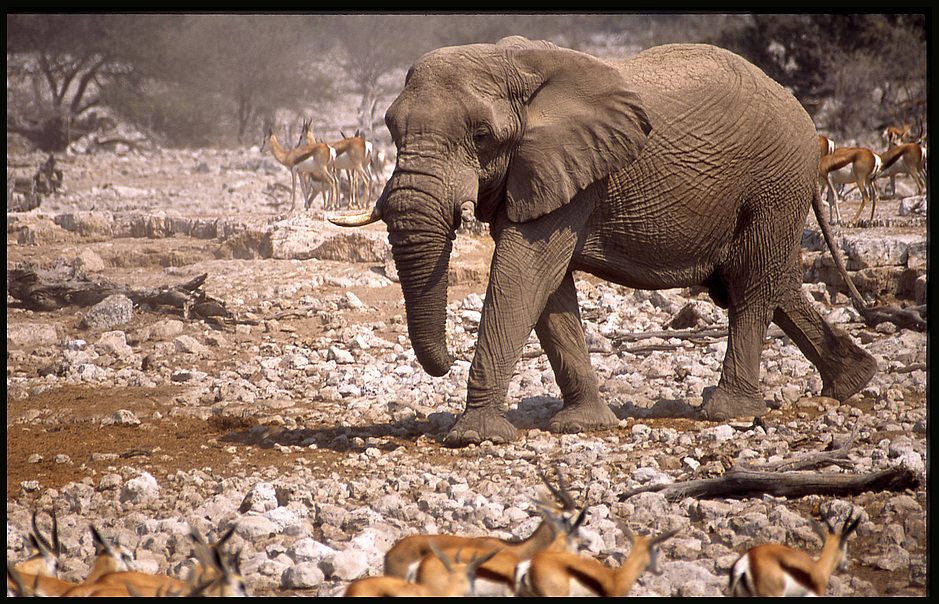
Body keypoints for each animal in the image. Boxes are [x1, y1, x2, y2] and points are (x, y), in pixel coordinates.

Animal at [330, 35, 880, 446]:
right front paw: (583, 425)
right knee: (773, 282)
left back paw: (727, 412)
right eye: (389, 129)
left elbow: (524, 273)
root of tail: (809, 124)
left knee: (750, 286)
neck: (512, 63)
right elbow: (549, 290)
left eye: (482, 136)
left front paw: (474, 436)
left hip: (774, 182)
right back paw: (853, 382)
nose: (442, 364)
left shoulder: (570, 168)